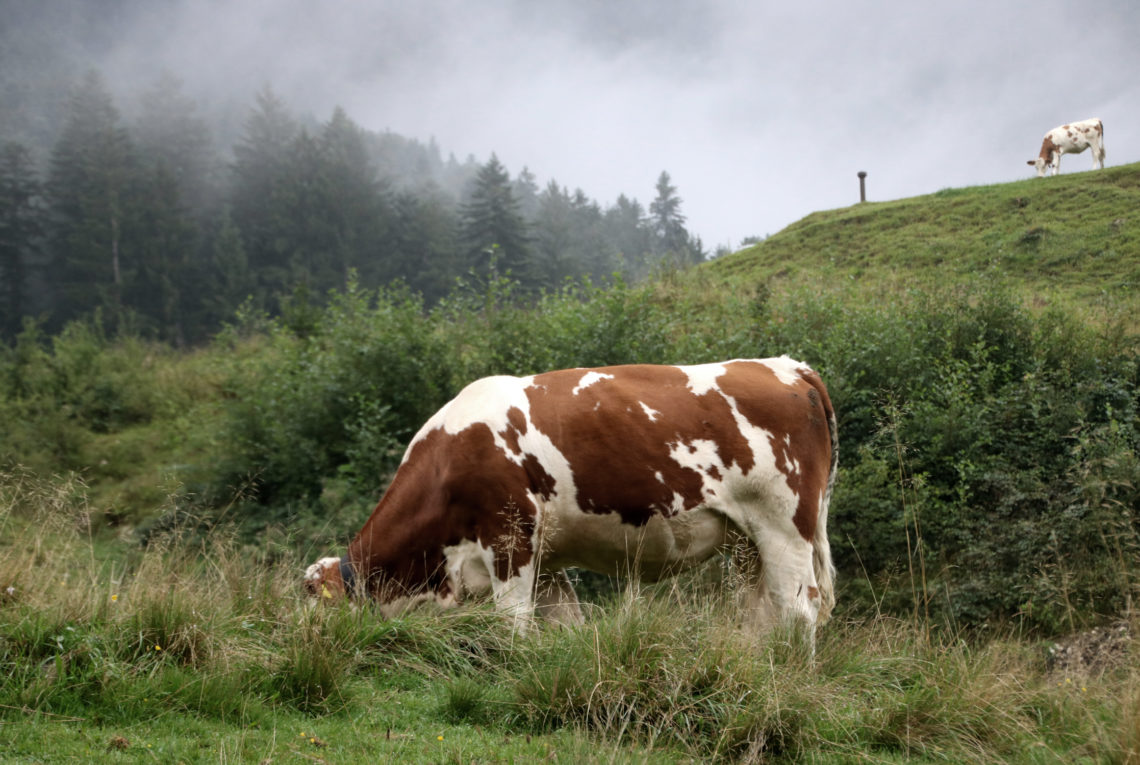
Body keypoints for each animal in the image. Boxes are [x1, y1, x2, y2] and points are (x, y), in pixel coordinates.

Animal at [303, 357, 839, 638]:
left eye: (314, 607)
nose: (300, 642)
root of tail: (784, 366)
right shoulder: (547, 560)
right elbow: (565, 623)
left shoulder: (508, 538)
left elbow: (513, 624)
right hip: (748, 541)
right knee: (764, 611)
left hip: (785, 524)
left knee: (800, 610)